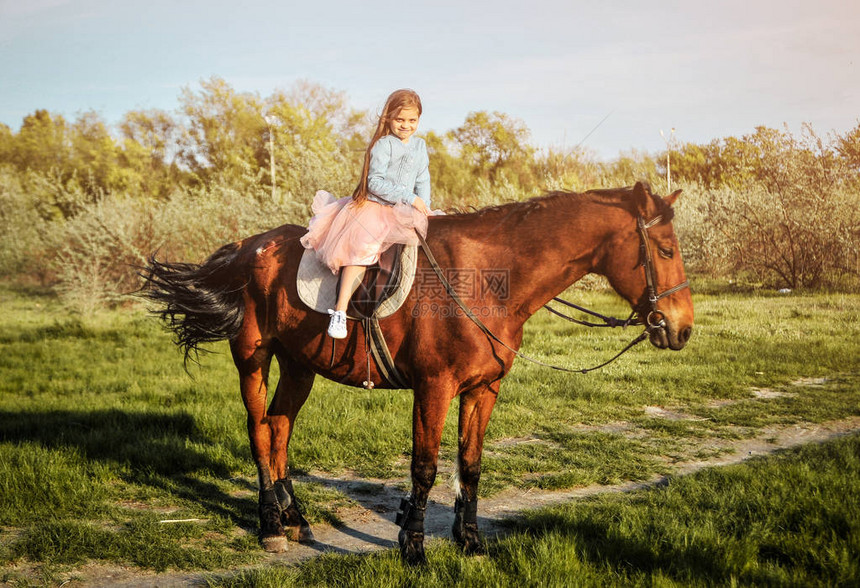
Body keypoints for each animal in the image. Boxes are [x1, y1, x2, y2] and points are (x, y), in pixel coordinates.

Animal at [141, 180, 692, 564]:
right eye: (665, 251)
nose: (682, 328)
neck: (486, 281)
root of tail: (246, 247)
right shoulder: (434, 388)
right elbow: (424, 467)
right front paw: (413, 546)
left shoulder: (482, 390)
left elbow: (470, 465)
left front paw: (469, 542)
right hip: (253, 358)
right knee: (258, 431)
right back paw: (272, 526)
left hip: (300, 365)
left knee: (279, 428)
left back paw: (294, 518)